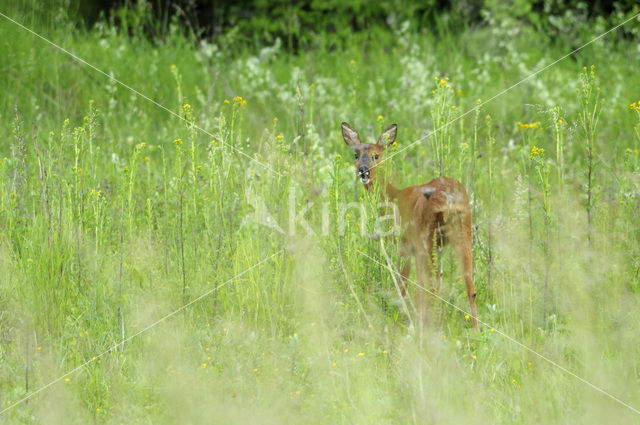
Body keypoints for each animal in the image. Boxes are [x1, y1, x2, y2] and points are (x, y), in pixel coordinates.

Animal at [342, 121, 478, 330]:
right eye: (356, 155)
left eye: (376, 155)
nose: (363, 171)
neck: (392, 197)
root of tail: (448, 199)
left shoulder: (404, 245)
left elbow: (402, 283)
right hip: (462, 233)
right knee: (468, 284)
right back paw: (474, 329)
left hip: (425, 240)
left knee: (430, 286)